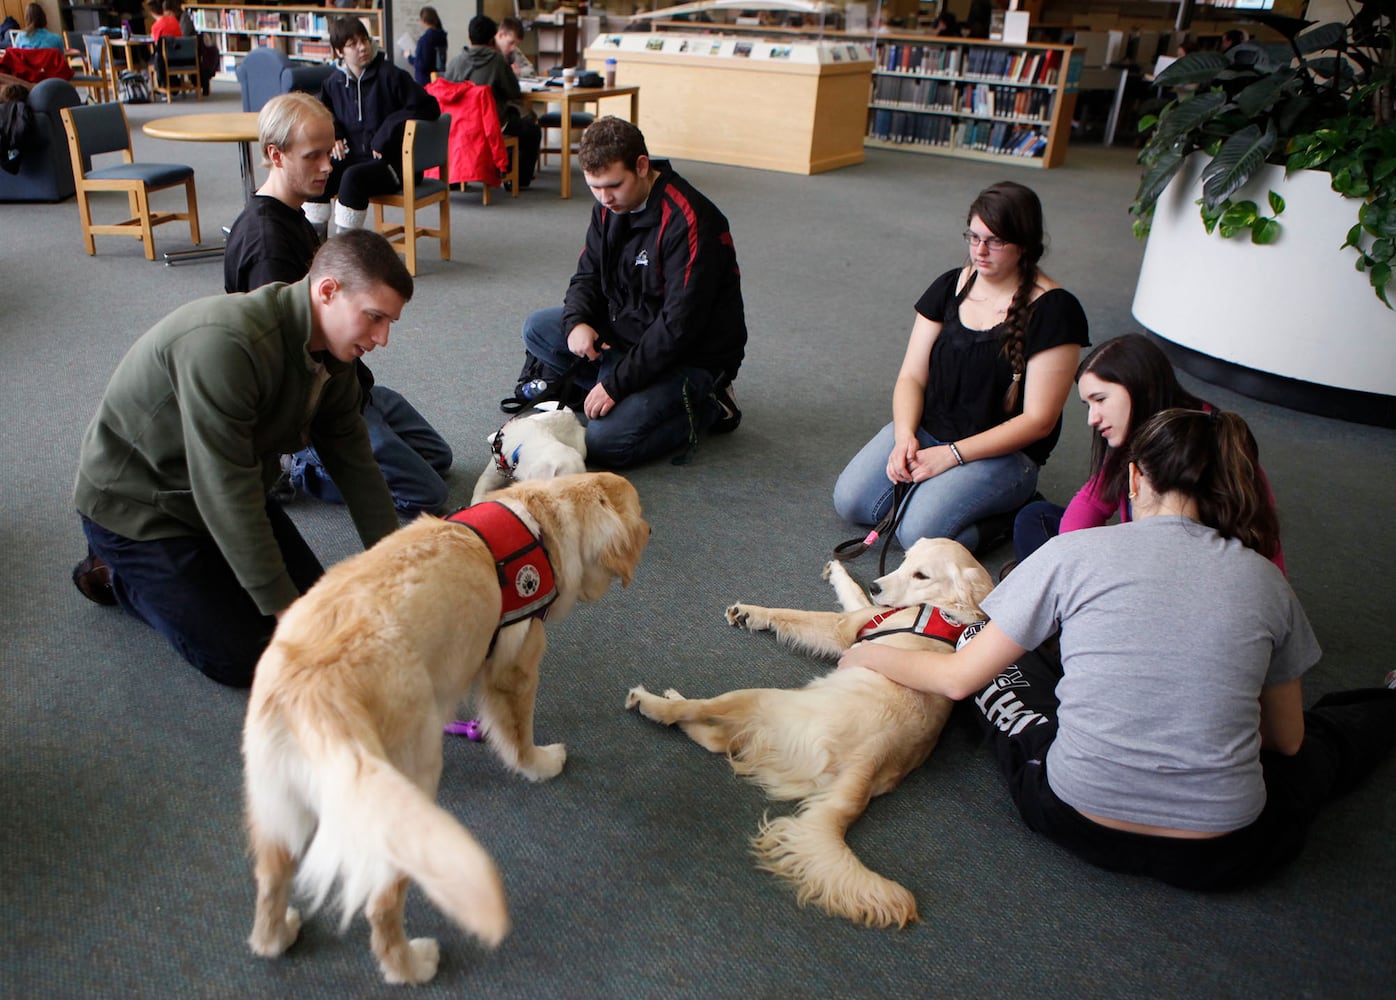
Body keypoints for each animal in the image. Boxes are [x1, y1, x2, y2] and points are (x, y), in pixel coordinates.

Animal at [241, 472, 647, 983]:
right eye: (641, 514)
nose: (651, 531)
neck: (542, 527)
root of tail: (315, 685)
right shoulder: (515, 664)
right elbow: (519, 733)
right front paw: (539, 763)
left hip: (279, 804)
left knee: (270, 879)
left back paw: (276, 937)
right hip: (404, 795)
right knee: (381, 906)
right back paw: (412, 965)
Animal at [622, 539, 993, 927]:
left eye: (922, 575)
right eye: (904, 561)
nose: (877, 585)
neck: (948, 611)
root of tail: (870, 763)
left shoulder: (846, 627)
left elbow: (798, 613)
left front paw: (756, 611)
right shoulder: (866, 614)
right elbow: (852, 592)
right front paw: (835, 574)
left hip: (764, 701)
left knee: (703, 712)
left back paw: (656, 703)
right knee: (716, 740)